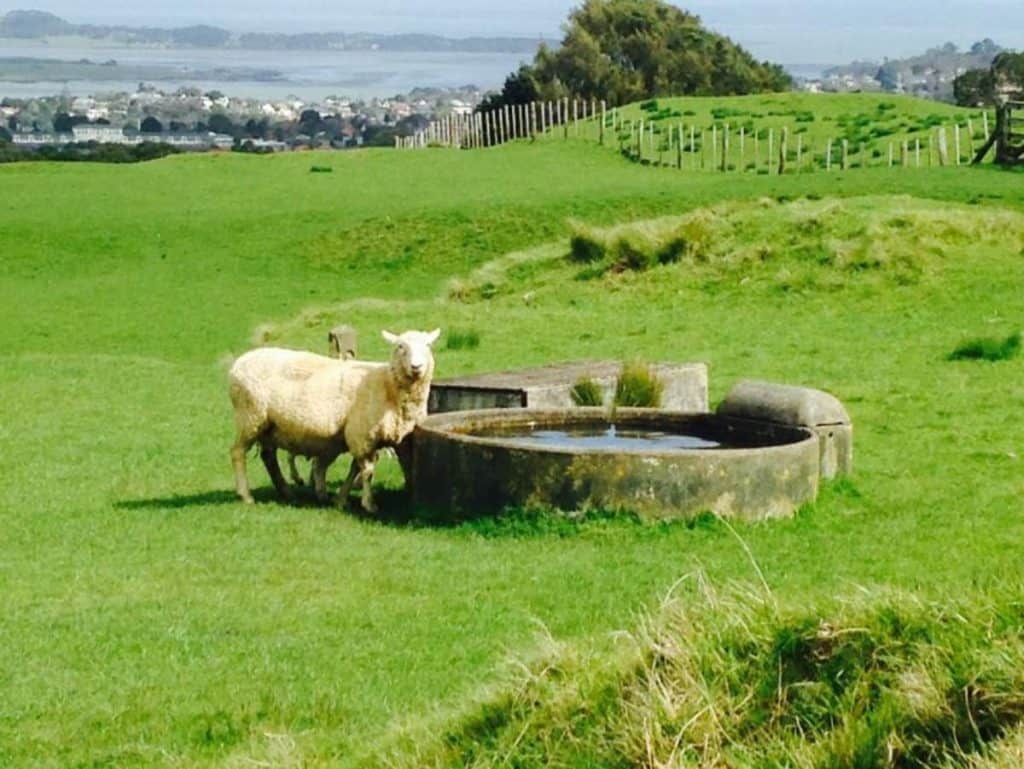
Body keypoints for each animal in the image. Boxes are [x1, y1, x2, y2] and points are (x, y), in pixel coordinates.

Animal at [228, 328, 440, 513]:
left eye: (428, 345)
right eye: (400, 346)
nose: (416, 367)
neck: (388, 385)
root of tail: (239, 363)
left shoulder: (372, 437)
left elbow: (355, 469)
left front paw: (340, 499)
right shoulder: (361, 435)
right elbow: (367, 471)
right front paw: (369, 504)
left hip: (269, 425)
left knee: (269, 457)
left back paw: (286, 492)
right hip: (250, 416)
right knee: (238, 452)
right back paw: (246, 495)